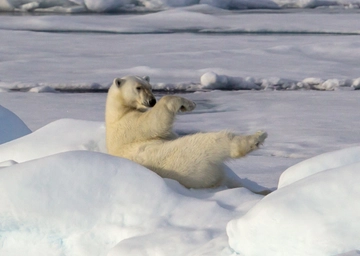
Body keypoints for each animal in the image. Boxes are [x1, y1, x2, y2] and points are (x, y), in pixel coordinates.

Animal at [105, 75, 268, 191]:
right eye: (138, 87)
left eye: (150, 87)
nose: (152, 101)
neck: (117, 113)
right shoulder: (130, 125)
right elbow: (154, 122)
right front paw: (188, 104)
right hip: (189, 160)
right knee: (212, 142)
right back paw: (257, 137)